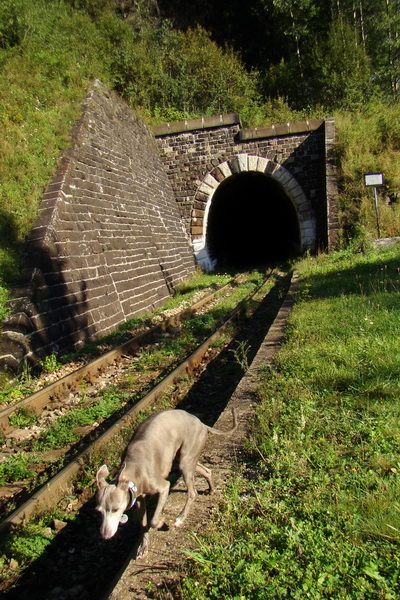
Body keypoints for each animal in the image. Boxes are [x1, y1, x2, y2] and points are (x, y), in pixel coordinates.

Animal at [96, 408, 238, 556]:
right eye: (99, 511)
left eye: (116, 509)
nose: (105, 535)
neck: (134, 467)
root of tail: (201, 423)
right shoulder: (138, 498)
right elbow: (143, 524)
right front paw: (143, 547)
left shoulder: (163, 486)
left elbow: (153, 520)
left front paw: (160, 523)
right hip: (182, 459)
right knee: (206, 471)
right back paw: (211, 489)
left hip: (185, 460)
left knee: (193, 492)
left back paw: (181, 518)